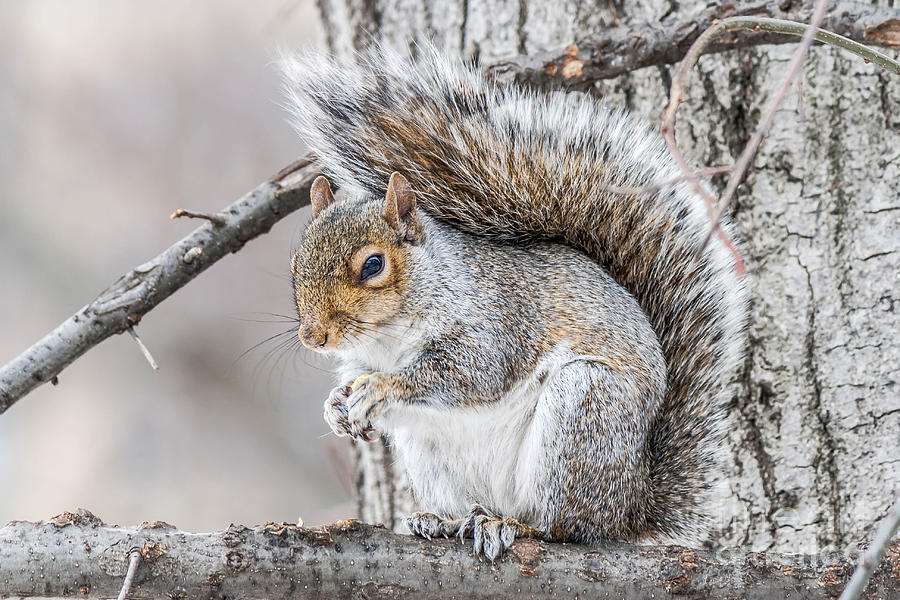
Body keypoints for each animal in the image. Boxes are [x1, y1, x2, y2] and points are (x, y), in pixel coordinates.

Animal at [280, 44, 744, 560]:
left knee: (564, 527)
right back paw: (443, 521)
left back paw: (519, 527)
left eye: (373, 265)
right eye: (296, 262)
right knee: (471, 506)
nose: (314, 337)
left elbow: (471, 372)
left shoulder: (496, 321)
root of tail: (629, 508)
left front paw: (381, 388)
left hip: (583, 413)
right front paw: (335, 405)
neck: (390, 338)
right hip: (432, 455)